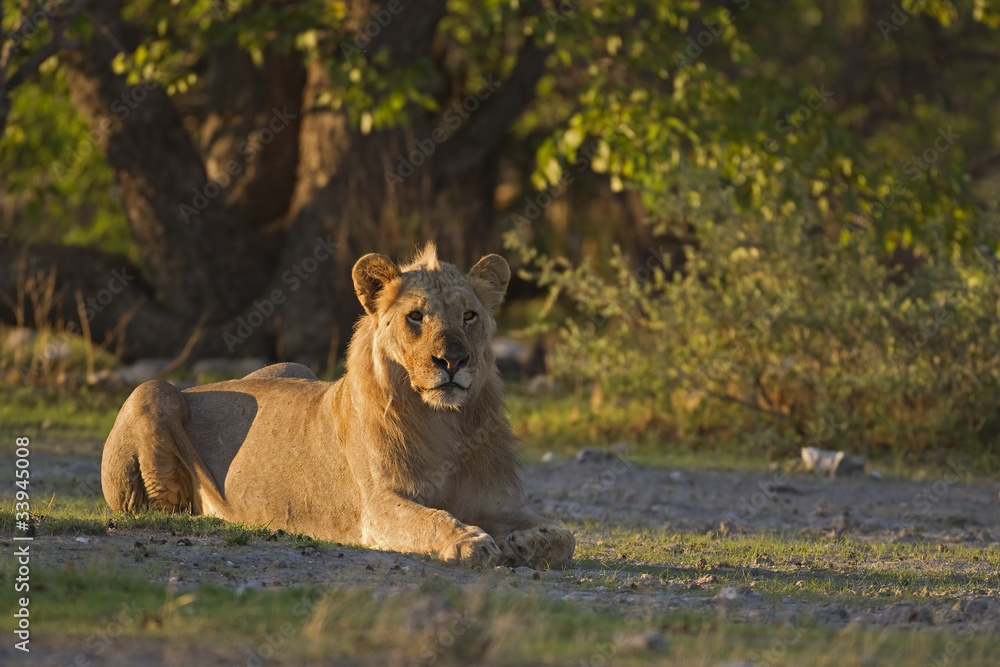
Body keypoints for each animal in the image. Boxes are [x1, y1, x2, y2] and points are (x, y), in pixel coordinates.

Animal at [101, 244, 575, 569]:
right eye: (416, 316)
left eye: (470, 316)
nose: (453, 361)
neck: (445, 423)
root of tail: (201, 386)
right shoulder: (378, 507)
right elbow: (433, 519)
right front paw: (470, 542)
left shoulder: (493, 501)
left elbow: (566, 536)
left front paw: (524, 543)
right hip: (153, 389)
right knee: (164, 505)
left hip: (295, 367)